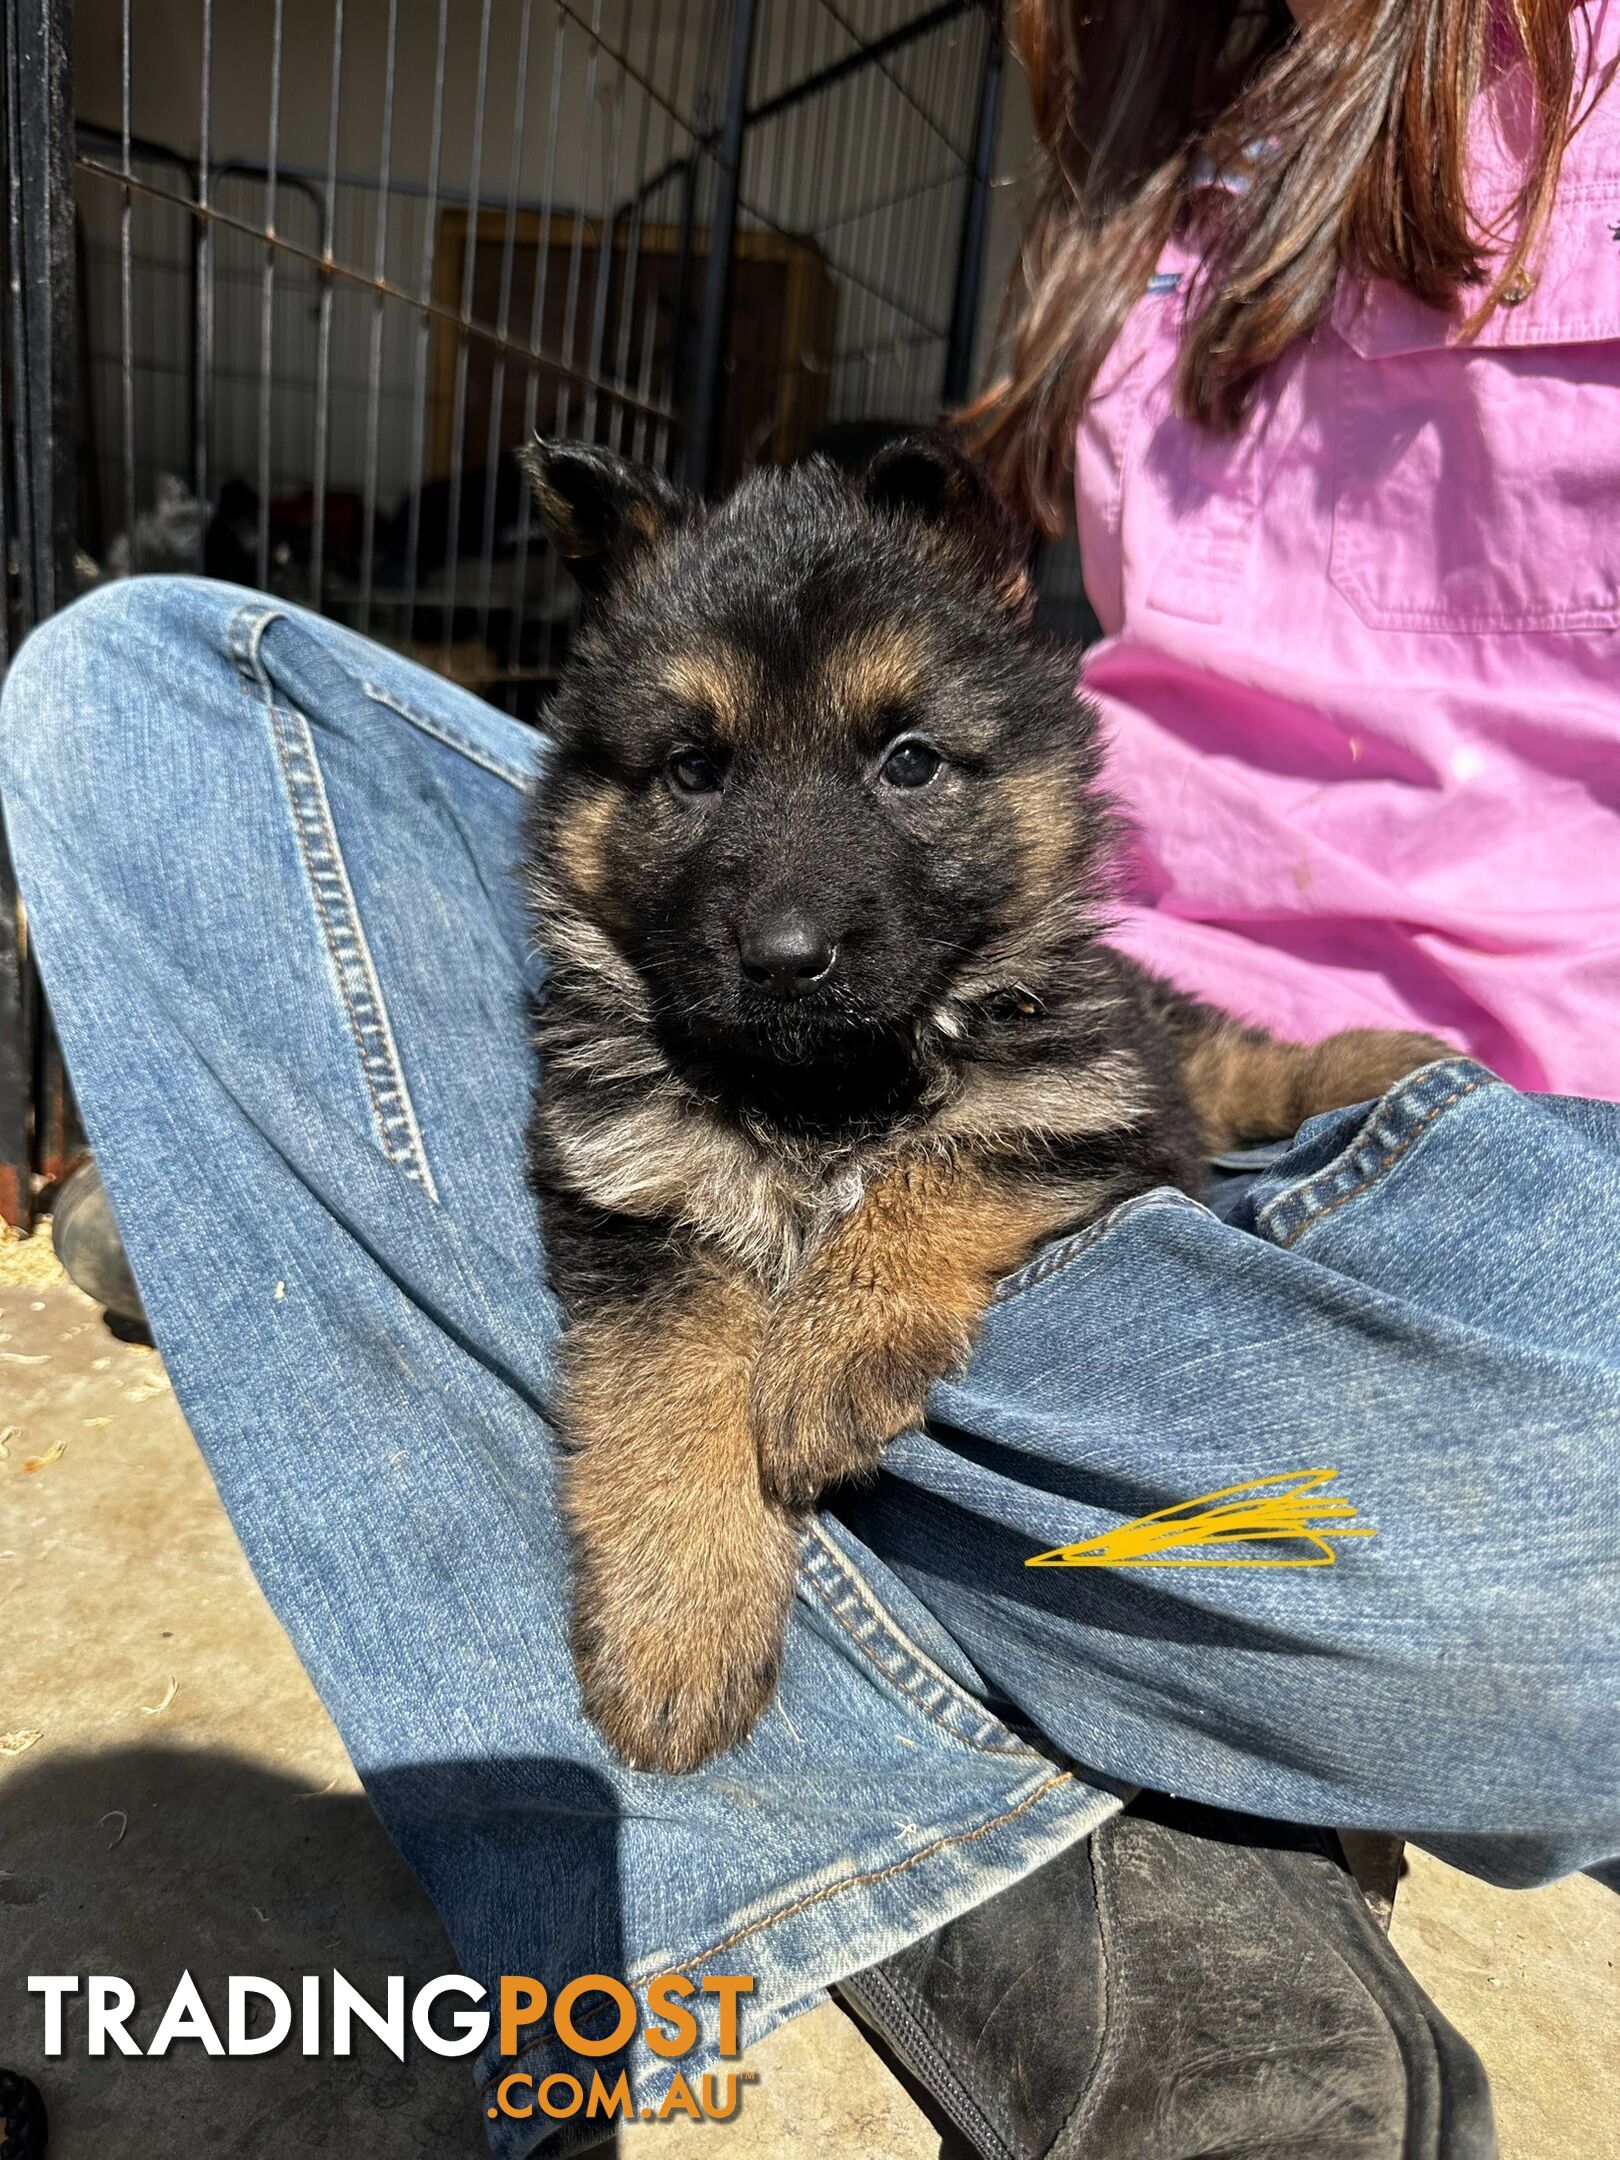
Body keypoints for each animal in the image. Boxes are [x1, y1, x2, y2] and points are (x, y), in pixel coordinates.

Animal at [520, 425, 1442, 1771]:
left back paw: (1387, 1058)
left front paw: (828, 1356)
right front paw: (677, 1624)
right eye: (693, 771)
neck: (821, 1083)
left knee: (1237, 1058)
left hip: (1148, 1038)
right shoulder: (642, 1205)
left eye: (908, 762)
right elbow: (664, 1402)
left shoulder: (1080, 1104)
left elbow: (938, 1162)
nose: (786, 958)